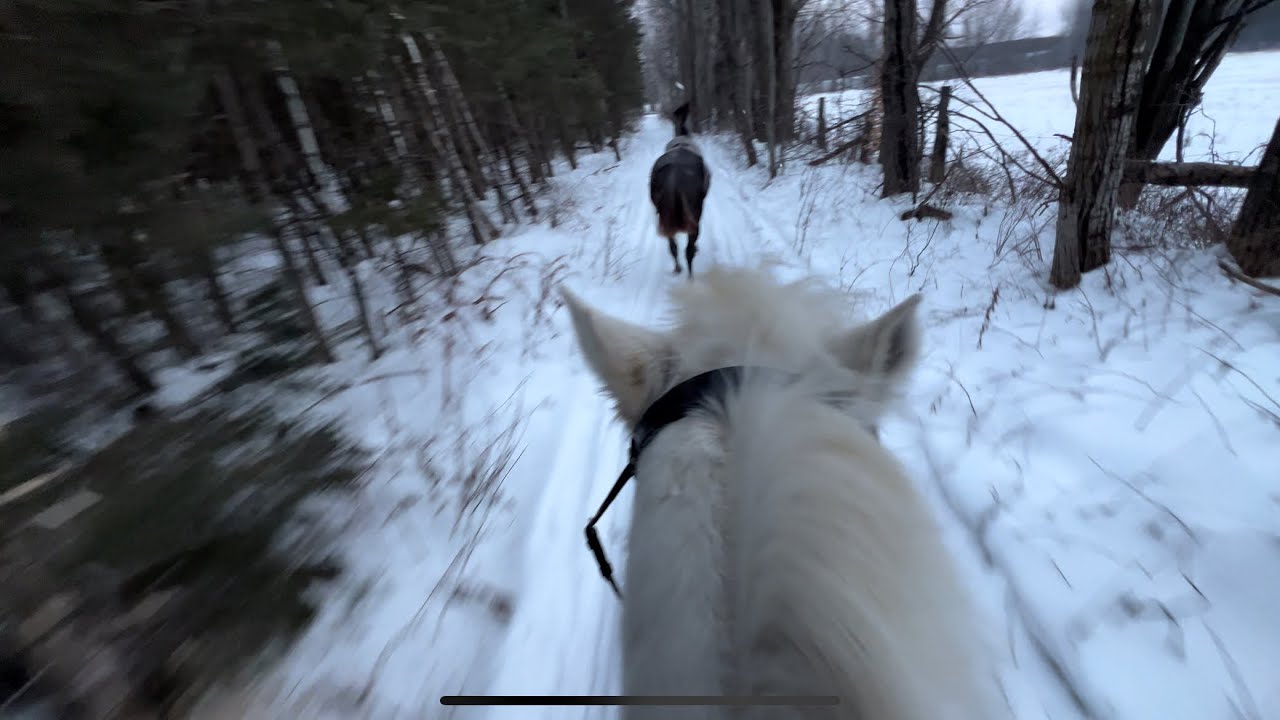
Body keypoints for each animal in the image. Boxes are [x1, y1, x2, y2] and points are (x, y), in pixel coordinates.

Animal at [649, 102, 711, 277]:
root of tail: (673, 177)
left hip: (663, 215)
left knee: (673, 247)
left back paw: (678, 268)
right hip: (695, 215)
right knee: (688, 251)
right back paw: (690, 277)